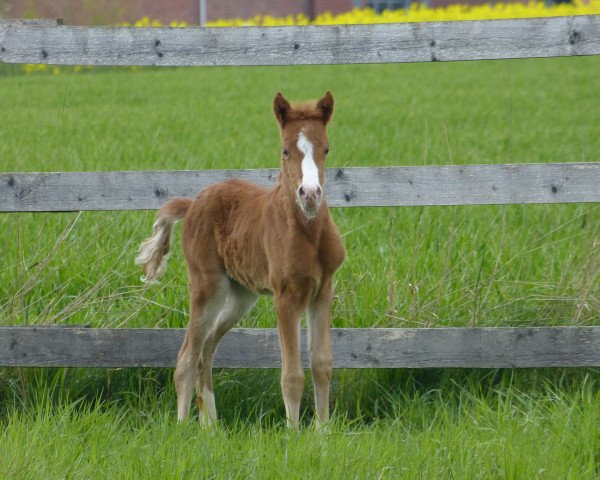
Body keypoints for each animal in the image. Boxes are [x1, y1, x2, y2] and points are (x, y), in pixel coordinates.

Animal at [134, 93, 344, 428]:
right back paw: (182, 427)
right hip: (208, 287)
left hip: (241, 295)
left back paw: (211, 428)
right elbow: (291, 375)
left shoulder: (323, 291)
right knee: (187, 356)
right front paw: (294, 434)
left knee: (206, 351)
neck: (309, 234)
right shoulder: (285, 296)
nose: (310, 194)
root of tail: (192, 205)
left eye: (325, 149)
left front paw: (322, 433)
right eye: (285, 150)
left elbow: (322, 364)